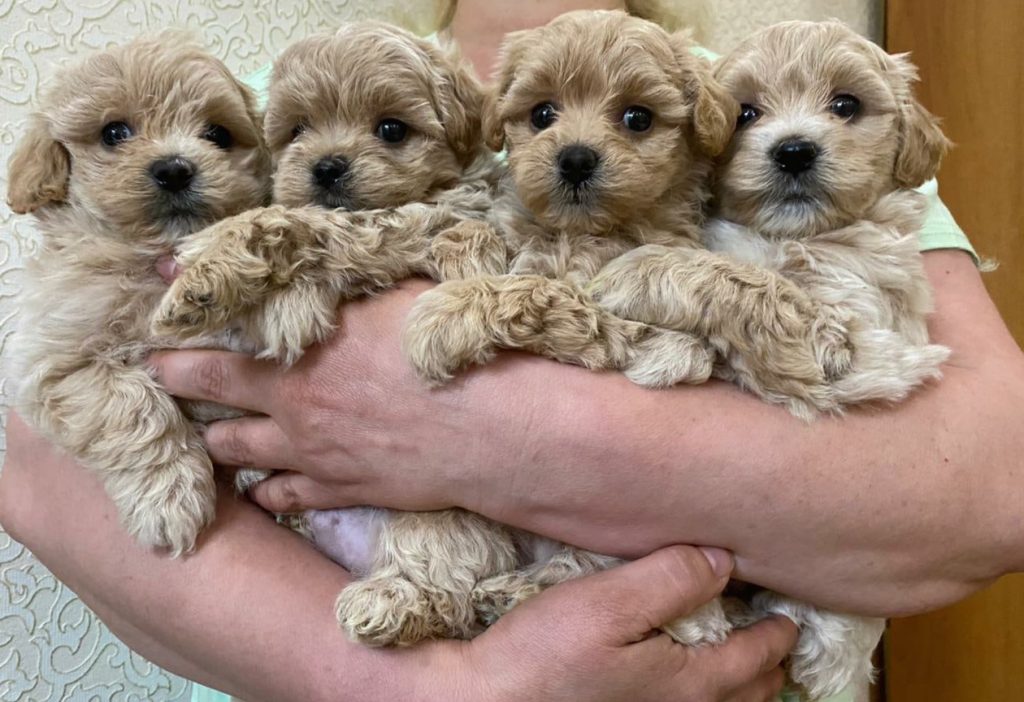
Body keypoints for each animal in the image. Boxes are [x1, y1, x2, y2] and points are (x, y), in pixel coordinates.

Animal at [6, 35, 270, 556]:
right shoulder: (53, 366)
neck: (148, 258)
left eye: (217, 134)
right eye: (114, 133)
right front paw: (170, 498)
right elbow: (131, 403)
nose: (175, 168)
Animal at [589, 19, 954, 699]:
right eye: (746, 113)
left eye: (846, 105)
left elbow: (749, 284)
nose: (793, 150)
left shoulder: (853, 341)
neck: (791, 236)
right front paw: (668, 347)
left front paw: (639, 271)